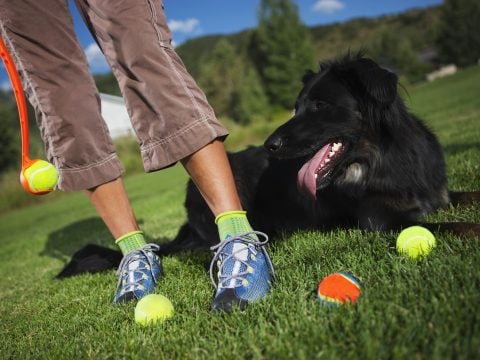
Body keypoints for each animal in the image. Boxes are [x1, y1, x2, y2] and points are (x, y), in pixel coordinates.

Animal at [55, 54, 476, 278]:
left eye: (320, 105)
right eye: (296, 107)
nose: (272, 145)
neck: (386, 157)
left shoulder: (439, 194)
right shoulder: (380, 221)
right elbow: (453, 225)